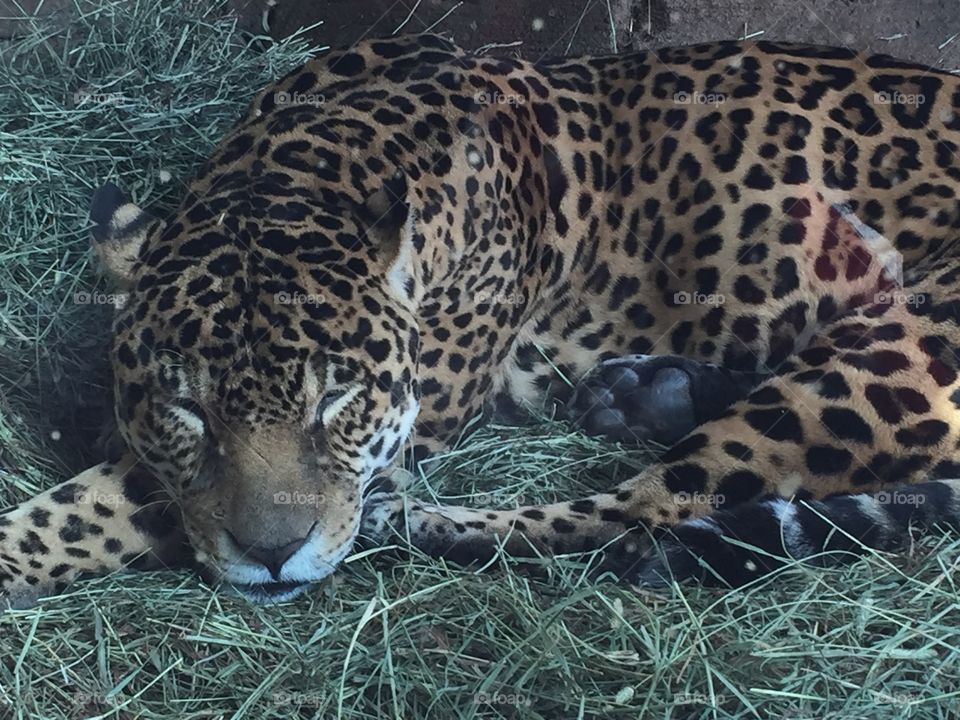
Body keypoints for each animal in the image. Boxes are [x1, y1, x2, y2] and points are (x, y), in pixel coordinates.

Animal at [4, 33, 960, 609]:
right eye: (189, 411)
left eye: (338, 401)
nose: (273, 555)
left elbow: (84, 513)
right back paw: (651, 391)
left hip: (906, 346)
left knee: (649, 506)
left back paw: (426, 523)